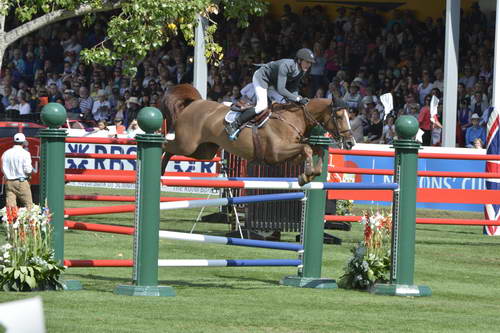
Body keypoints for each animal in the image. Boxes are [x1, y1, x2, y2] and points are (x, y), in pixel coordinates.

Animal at [161, 83, 356, 184]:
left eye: (349, 116)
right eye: (339, 116)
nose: (350, 143)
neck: (293, 119)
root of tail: (194, 103)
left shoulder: (292, 156)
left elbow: (316, 150)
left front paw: (310, 174)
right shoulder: (276, 152)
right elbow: (307, 148)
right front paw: (306, 174)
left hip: (204, 151)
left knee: (173, 150)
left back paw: (162, 172)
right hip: (187, 144)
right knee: (166, 145)